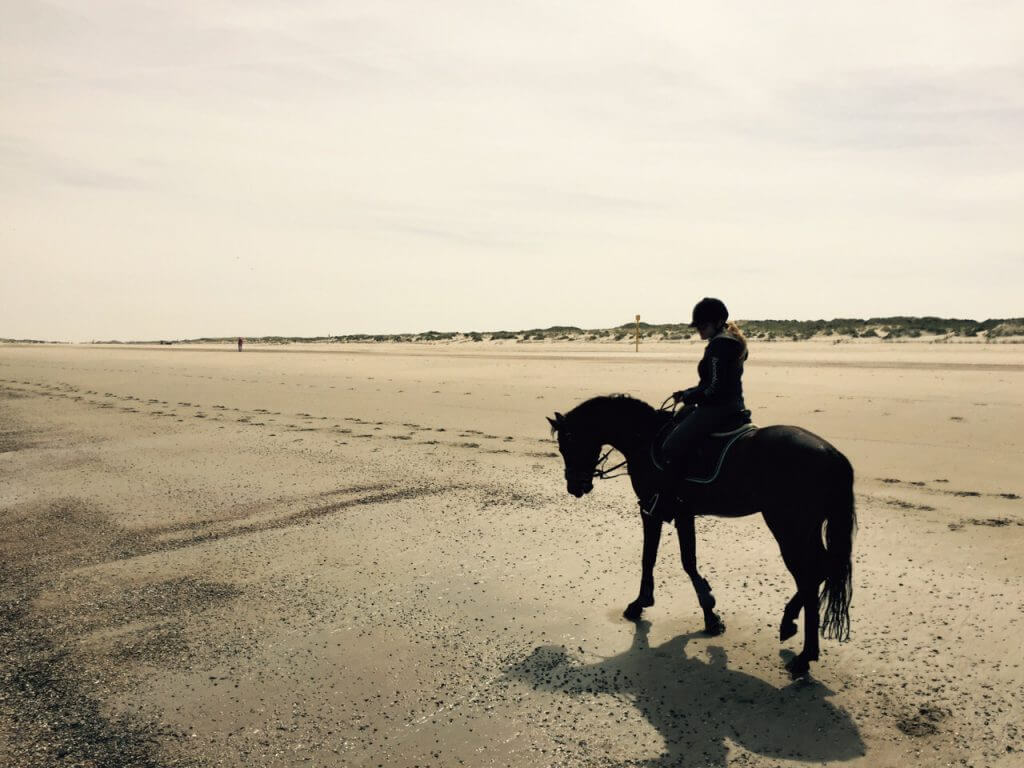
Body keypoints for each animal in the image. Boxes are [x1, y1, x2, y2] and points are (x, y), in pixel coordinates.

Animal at [544, 399, 856, 675]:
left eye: (567, 445)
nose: (575, 487)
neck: (646, 438)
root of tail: (832, 455)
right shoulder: (683, 514)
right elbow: (686, 560)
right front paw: (709, 615)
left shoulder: (652, 510)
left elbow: (656, 558)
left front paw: (643, 603)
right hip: (804, 528)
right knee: (824, 568)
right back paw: (792, 627)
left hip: (788, 528)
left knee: (810, 575)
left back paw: (803, 654)